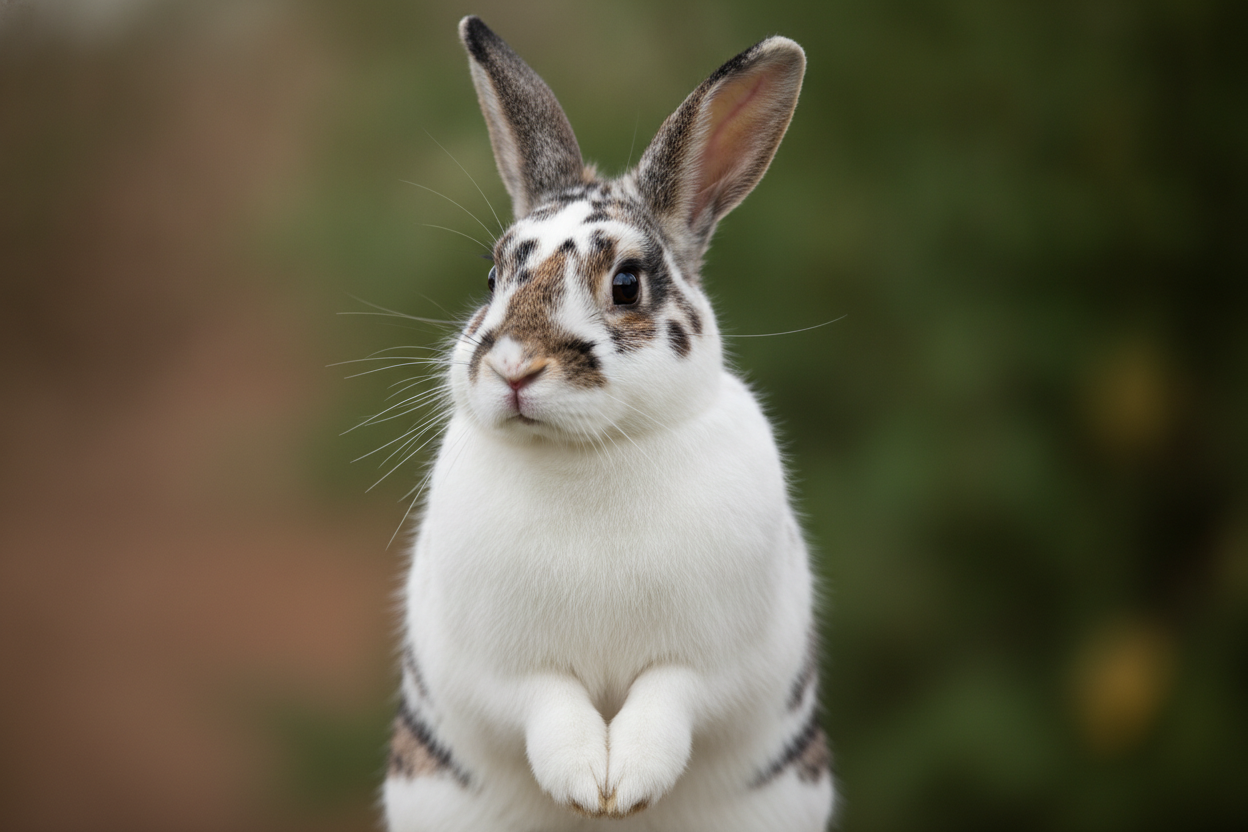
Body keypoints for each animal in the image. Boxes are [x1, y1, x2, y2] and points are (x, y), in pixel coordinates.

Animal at [383, 16, 834, 832]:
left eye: (626, 284)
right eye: (492, 277)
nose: (514, 368)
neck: (587, 457)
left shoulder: (715, 661)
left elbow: (668, 697)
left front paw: (626, 784)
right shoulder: (500, 668)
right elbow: (547, 703)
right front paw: (585, 781)